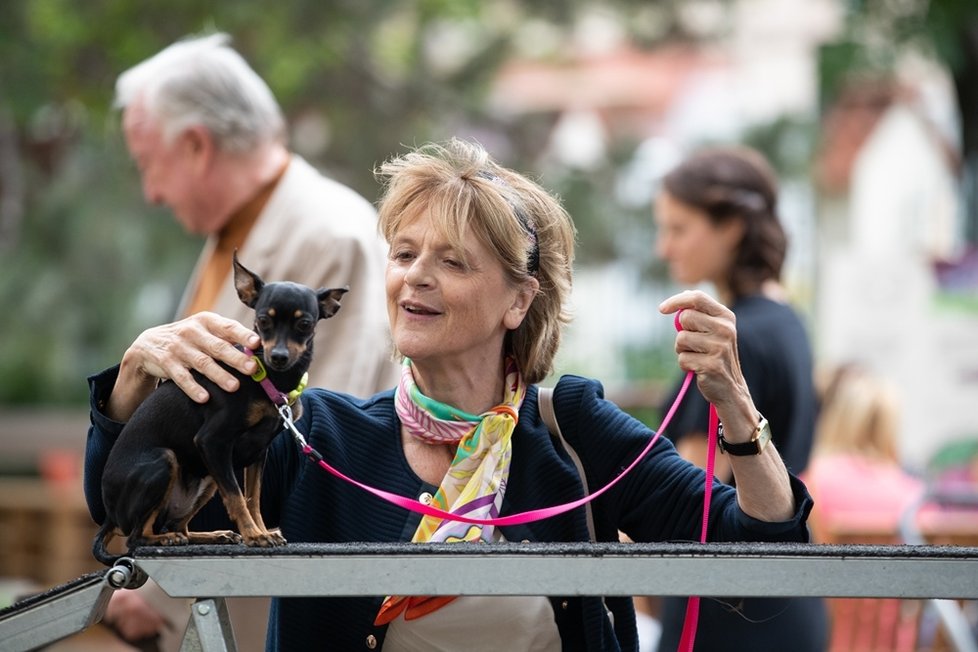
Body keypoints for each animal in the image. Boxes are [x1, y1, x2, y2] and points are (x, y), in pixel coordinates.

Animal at [88, 255, 346, 564]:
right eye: (262, 321)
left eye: (305, 324)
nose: (279, 356)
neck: (270, 380)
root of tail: (110, 516)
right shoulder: (211, 441)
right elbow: (237, 497)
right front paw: (254, 535)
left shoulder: (259, 453)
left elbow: (253, 498)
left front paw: (261, 530)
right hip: (167, 461)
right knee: (137, 538)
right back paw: (164, 539)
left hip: (209, 479)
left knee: (177, 525)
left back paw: (211, 535)